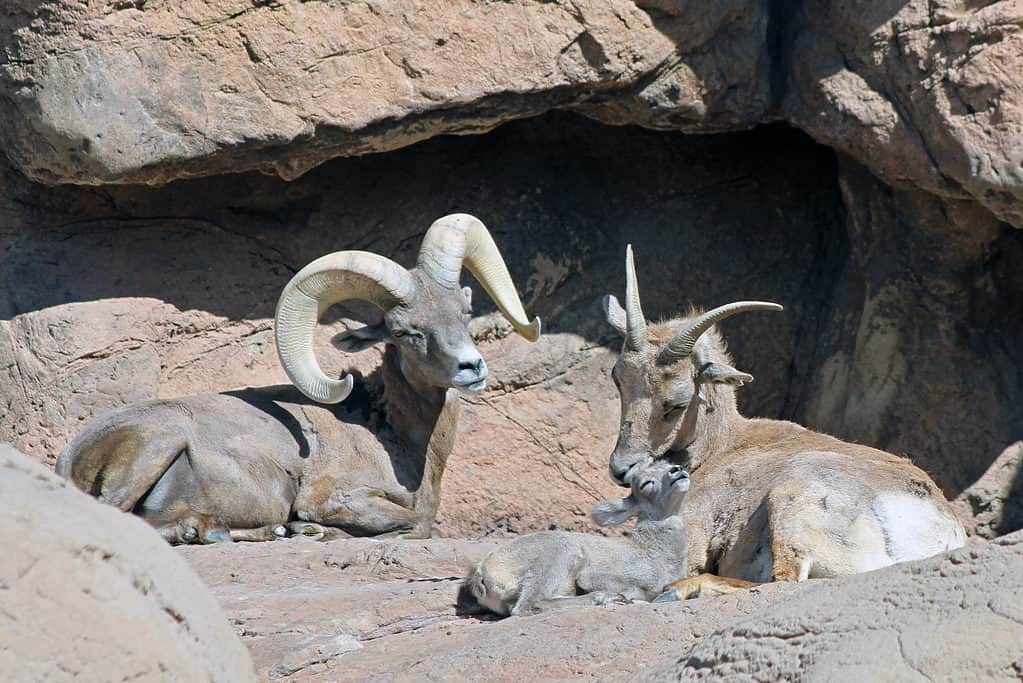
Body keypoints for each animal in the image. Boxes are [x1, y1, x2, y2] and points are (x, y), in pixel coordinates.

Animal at [57, 213, 540, 543]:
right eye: (407, 332)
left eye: (464, 311)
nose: (471, 367)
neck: (396, 437)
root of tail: (72, 454)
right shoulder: (333, 498)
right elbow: (418, 523)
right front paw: (315, 531)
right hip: (158, 442)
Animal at [468, 456, 691, 617]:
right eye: (646, 484)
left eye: (668, 465)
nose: (677, 470)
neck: (654, 553)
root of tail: (483, 574)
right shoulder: (592, 576)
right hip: (560, 554)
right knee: (527, 606)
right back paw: (605, 598)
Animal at [601, 245, 961, 593]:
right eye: (619, 379)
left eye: (676, 403)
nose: (621, 469)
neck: (721, 447)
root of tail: (935, 533)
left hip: (791, 502)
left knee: (781, 581)